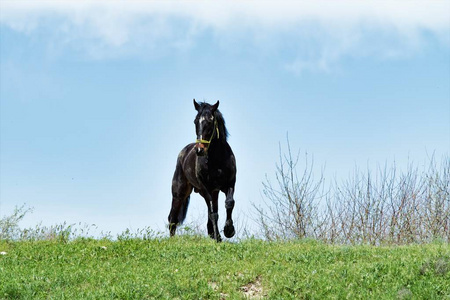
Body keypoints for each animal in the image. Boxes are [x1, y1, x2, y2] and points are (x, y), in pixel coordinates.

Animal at [169, 99, 237, 241]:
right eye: (195, 121)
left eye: (210, 121)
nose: (200, 149)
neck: (217, 159)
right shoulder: (206, 188)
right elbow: (213, 214)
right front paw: (221, 236)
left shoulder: (230, 184)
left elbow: (229, 203)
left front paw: (229, 230)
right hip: (179, 194)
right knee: (173, 218)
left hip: (213, 193)